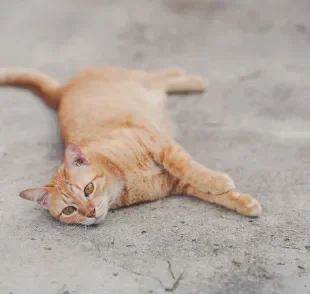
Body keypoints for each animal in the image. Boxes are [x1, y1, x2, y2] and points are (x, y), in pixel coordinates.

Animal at [0, 65, 262, 225]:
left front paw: (218, 181)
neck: (124, 181)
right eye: (69, 210)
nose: (90, 212)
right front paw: (244, 202)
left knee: (159, 75)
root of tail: (60, 92)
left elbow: (190, 168)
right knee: (161, 81)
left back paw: (193, 79)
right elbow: (214, 194)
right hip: (152, 93)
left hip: (141, 84)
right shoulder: (176, 183)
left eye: (88, 189)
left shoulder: (157, 143)